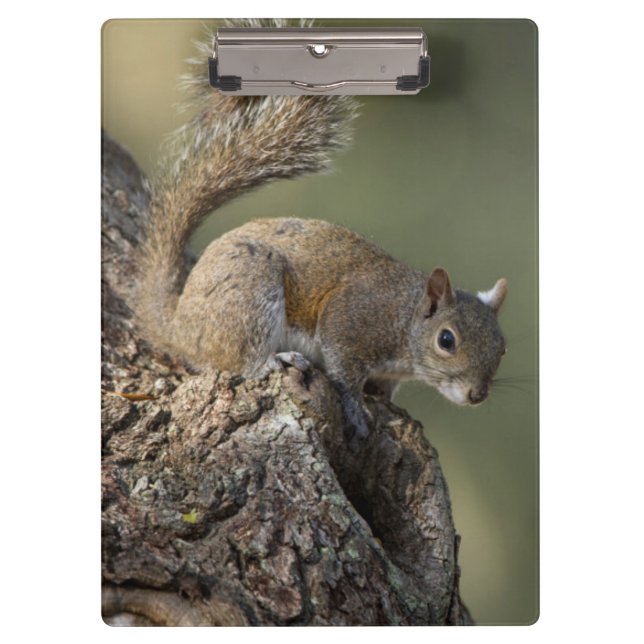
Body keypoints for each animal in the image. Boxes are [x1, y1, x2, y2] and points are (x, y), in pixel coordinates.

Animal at [133, 29, 508, 444]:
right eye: (446, 340)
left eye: (502, 347)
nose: (477, 394)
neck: (404, 317)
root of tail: (178, 326)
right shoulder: (351, 320)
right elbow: (344, 371)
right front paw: (356, 409)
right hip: (249, 295)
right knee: (238, 359)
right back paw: (272, 360)